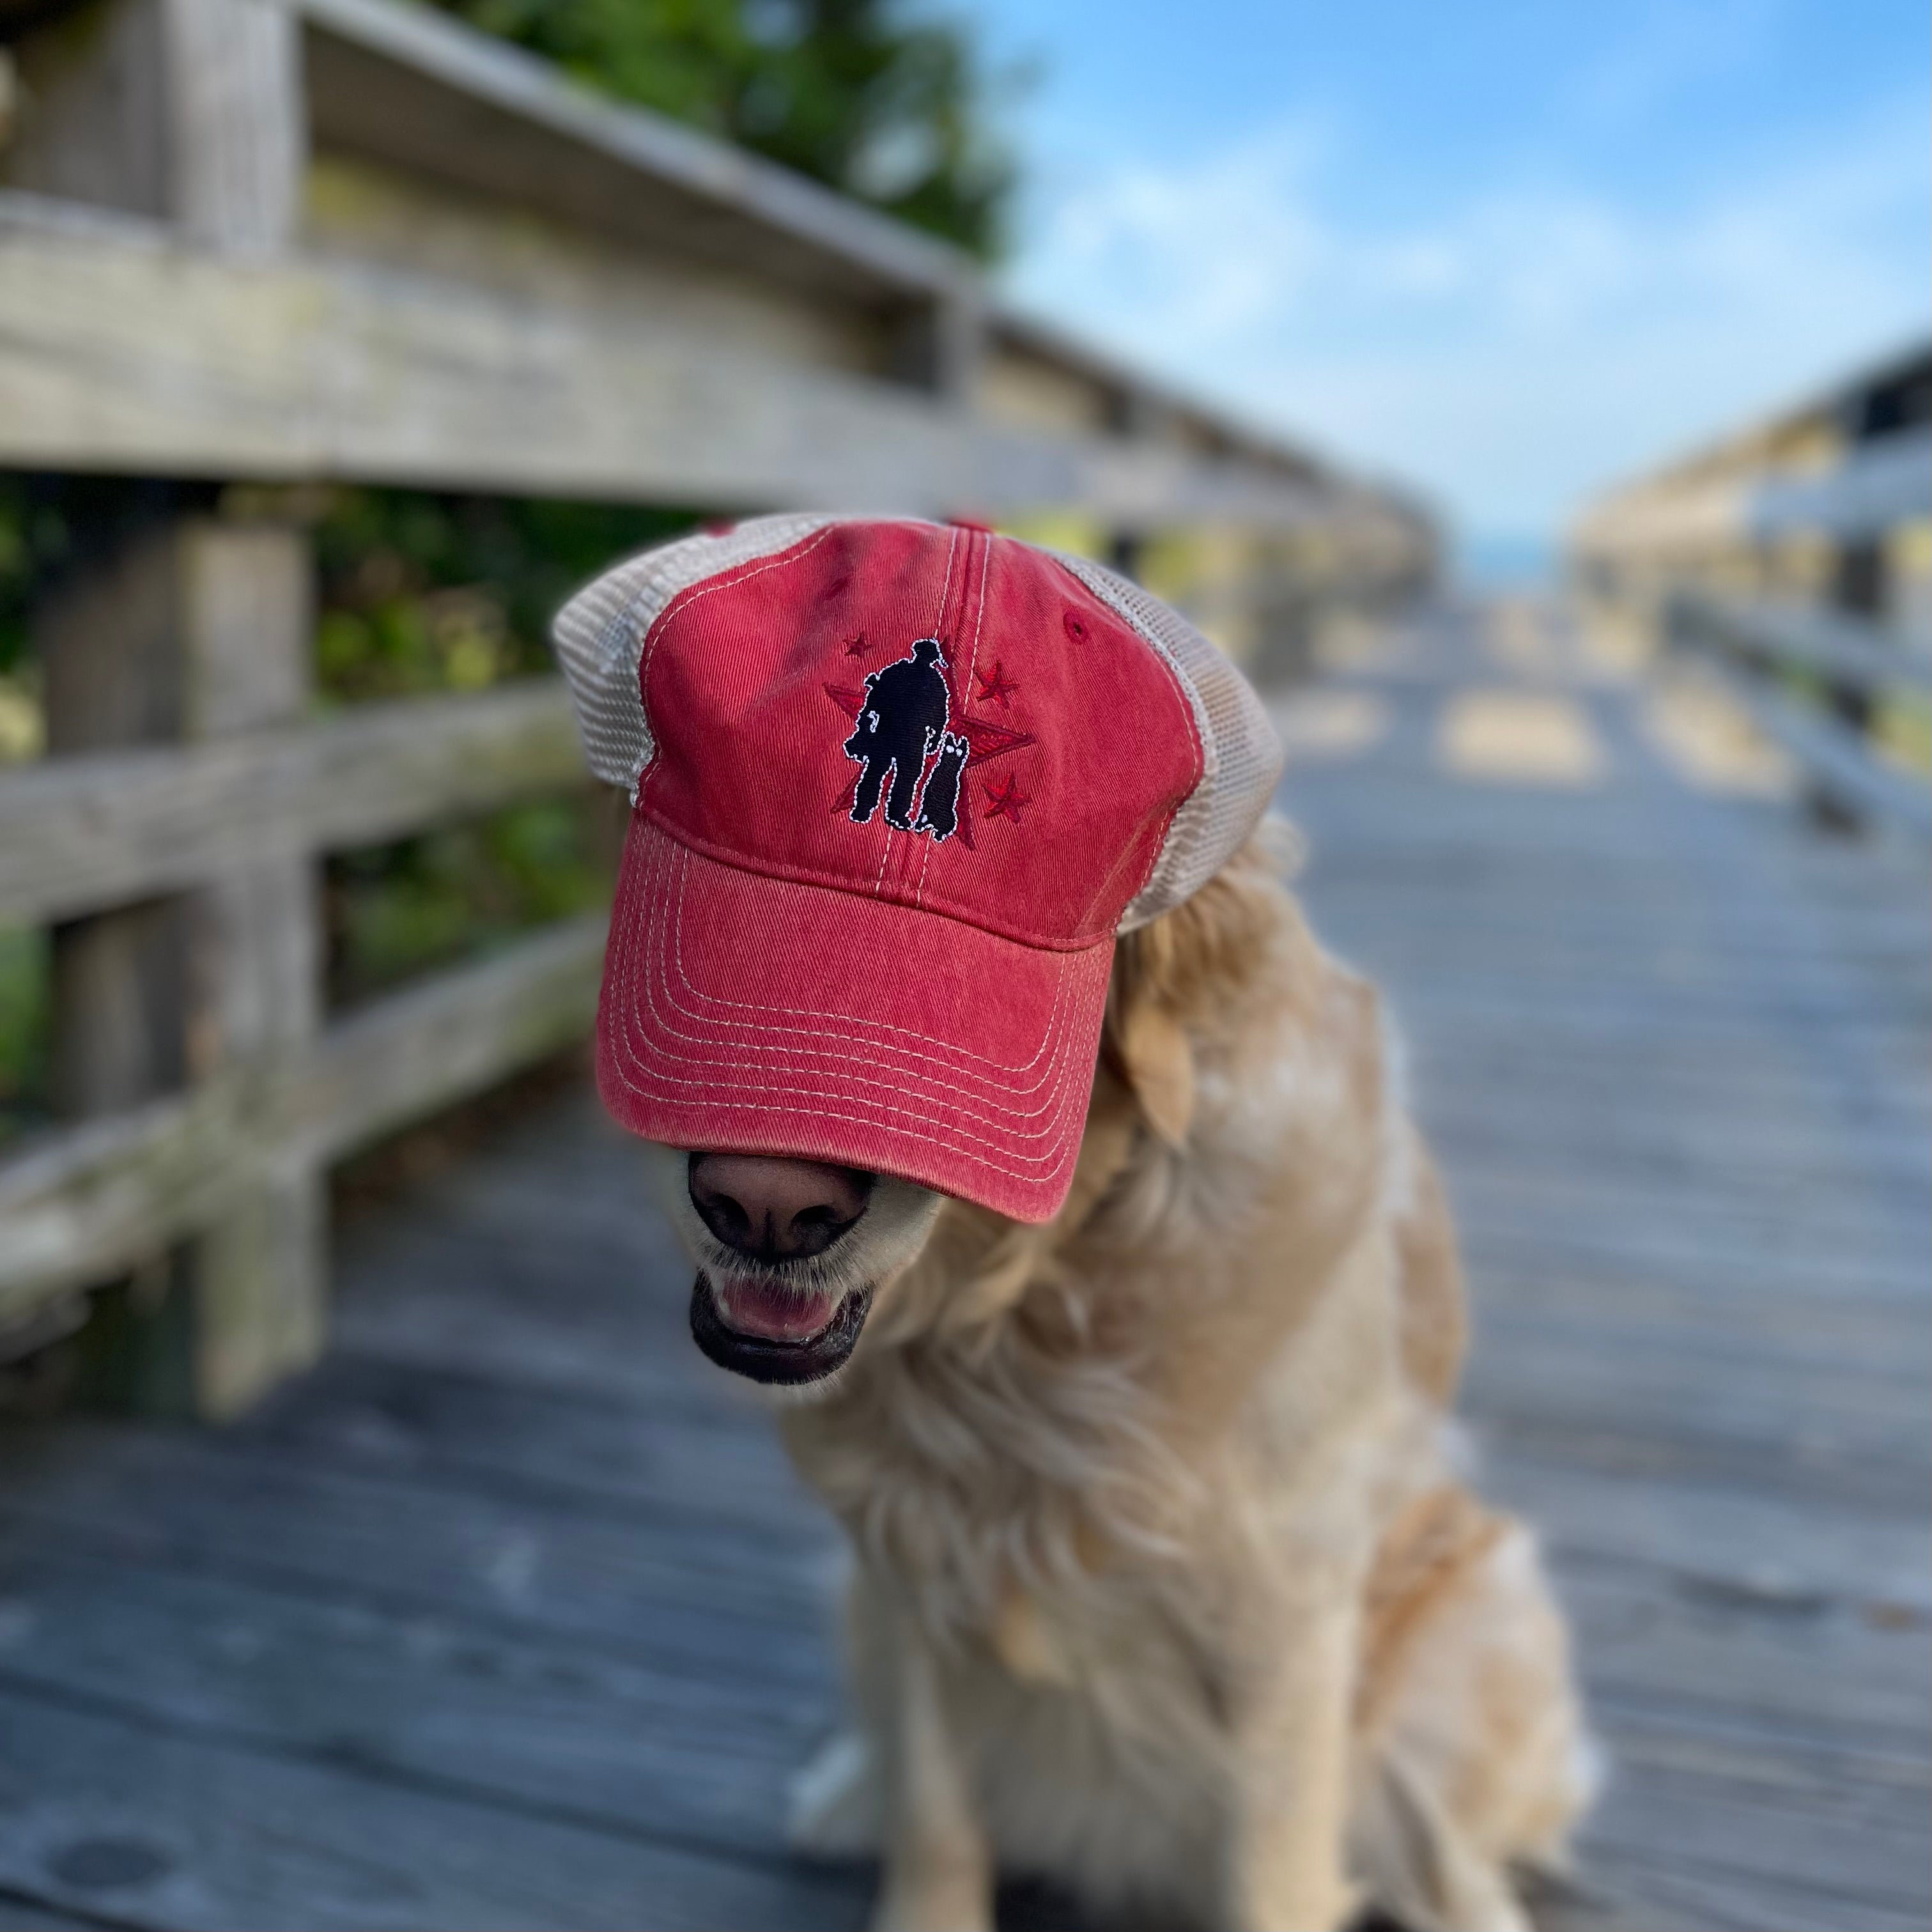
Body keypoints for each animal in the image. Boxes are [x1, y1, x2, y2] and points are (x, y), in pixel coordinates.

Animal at [641, 819, 1591, 1932]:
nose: (764, 1204)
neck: (1023, 1316)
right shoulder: (908, 1558)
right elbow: (933, 1811)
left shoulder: (1285, 1631)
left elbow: (1272, 1877)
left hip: (1484, 1624)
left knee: (1444, 1853)